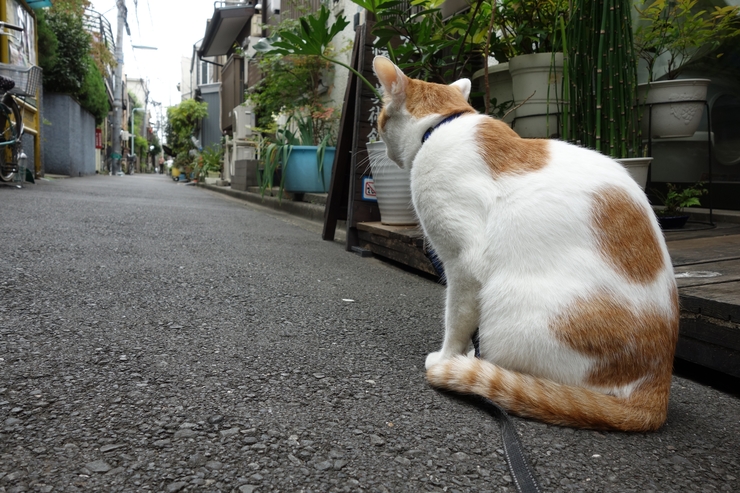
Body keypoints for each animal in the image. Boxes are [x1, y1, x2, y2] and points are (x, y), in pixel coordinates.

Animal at [372, 54, 680, 430]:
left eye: (380, 118)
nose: (377, 143)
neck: (441, 127)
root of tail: (658, 387)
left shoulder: (464, 264)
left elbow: (457, 319)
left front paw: (446, 357)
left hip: (514, 311)